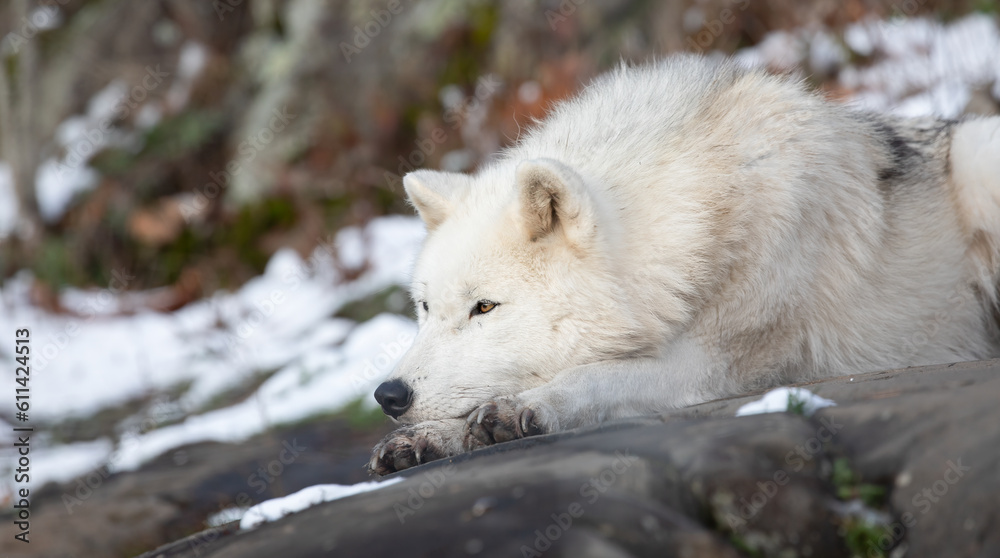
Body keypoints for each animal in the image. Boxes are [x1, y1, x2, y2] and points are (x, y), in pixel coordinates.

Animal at [368, 54, 1000, 475]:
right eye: (425, 308)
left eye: (485, 307)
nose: (388, 395)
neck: (706, 202)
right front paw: (428, 439)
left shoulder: (713, 364)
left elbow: (594, 375)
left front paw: (527, 407)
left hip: (979, 157)